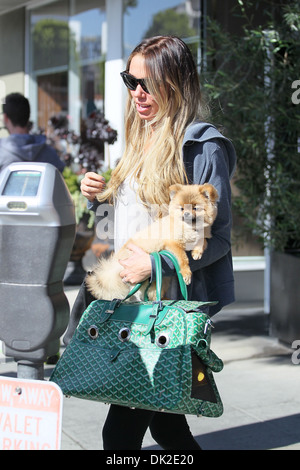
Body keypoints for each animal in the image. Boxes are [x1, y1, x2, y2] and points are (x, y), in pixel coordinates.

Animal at [85, 184, 219, 302]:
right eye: (181, 208)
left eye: (195, 208)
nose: (186, 213)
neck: (190, 227)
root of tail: (116, 265)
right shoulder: (173, 243)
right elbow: (182, 258)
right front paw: (186, 273)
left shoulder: (202, 235)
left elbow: (203, 241)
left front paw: (197, 252)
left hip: (162, 281)